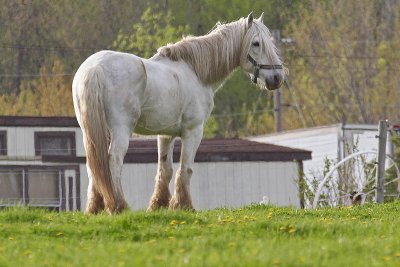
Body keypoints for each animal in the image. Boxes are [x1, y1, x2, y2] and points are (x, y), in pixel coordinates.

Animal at [72, 12, 284, 215]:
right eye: (256, 43)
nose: (277, 78)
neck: (196, 73)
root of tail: (95, 68)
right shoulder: (193, 131)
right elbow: (185, 168)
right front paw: (184, 205)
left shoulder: (166, 134)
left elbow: (165, 169)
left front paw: (158, 205)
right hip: (120, 131)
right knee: (113, 160)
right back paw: (118, 206)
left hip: (90, 132)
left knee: (95, 164)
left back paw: (94, 208)